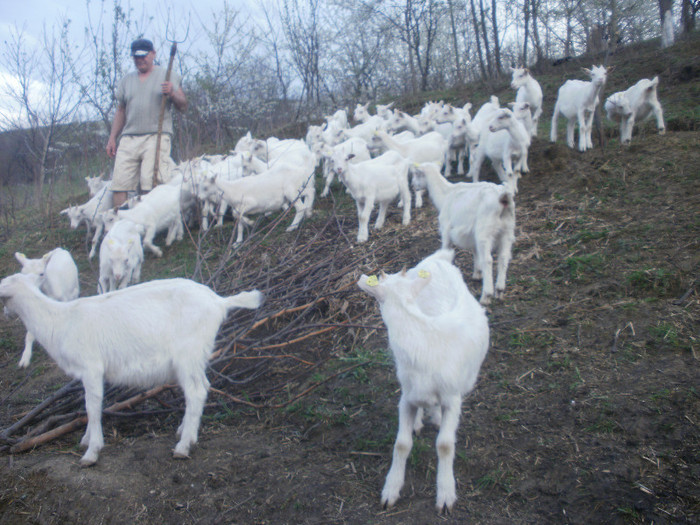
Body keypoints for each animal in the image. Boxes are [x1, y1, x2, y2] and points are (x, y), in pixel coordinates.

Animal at [0, 272, 262, 464]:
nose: (4, 313)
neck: (60, 320)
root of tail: (219, 302)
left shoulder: (91, 367)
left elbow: (92, 406)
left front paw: (91, 452)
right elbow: (89, 407)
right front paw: (86, 439)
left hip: (188, 353)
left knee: (196, 392)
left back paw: (183, 446)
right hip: (196, 356)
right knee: (202, 388)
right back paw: (185, 432)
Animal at [358, 248, 490, 510]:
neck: (425, 339)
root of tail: (439, 259)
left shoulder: (452, 400)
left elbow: (445, 444)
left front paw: (446, 494)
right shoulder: (406, 398)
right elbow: (401, 443)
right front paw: (391, 489)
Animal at [410, 162, 516, 304]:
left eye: (416, 174)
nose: (412, 186)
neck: (445, 194)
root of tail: (503, 198)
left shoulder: (445, 228)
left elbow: (445, 249)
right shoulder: (471, 235)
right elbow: (475, 252)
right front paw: (477, 274)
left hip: (484, 231)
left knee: (488, 260)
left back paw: (486, 295)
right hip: (507, 230)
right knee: (503, 257)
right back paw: (499, 290)